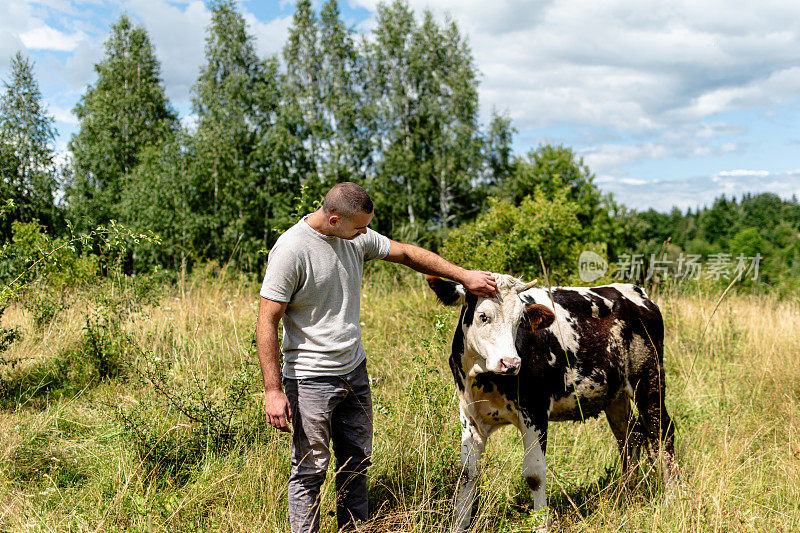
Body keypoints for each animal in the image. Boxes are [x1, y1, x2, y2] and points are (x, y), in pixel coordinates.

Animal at [424, 272, 676, 528]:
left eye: (520, 320)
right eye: (483, 316)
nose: (511, 363)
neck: (484, 377)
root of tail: (637, 294)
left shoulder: (534, 411)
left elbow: (534, 474)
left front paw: (540, 524)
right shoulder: (470, 415)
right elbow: (468, 472)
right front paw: (459, 524)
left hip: (649, 379)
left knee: (661, 431)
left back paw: (670, 497)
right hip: (615, 395)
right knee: (630, 436)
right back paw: (625, 496)